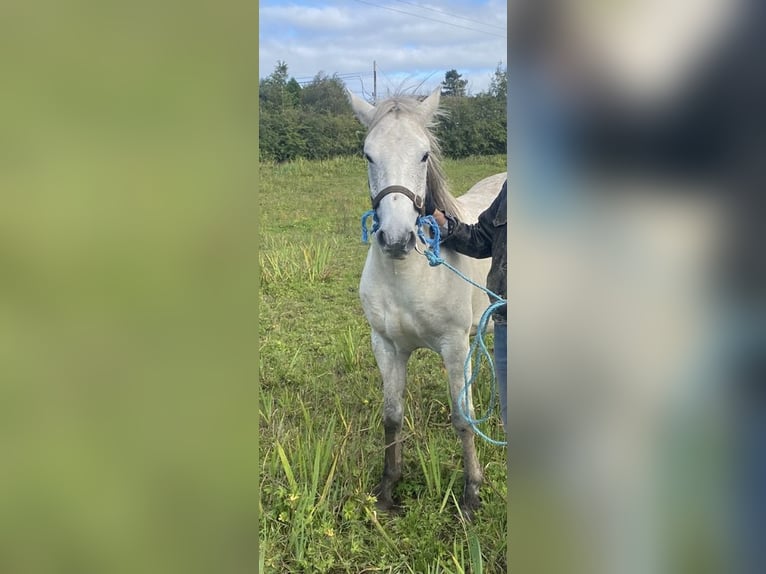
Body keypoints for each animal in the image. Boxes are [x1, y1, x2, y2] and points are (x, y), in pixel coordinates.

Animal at [350, 90, 508, 520]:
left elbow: (463, 419)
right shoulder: (386, 346)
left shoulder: (455, 347)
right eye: (368, 154)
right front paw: (387, 491)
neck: (410, 275)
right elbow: (391, 417)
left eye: (423, 155)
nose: (396, 238)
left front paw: (471, 496)